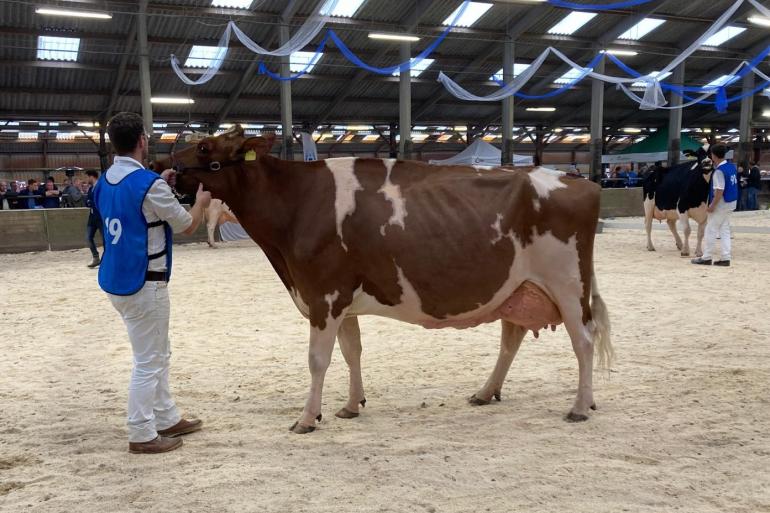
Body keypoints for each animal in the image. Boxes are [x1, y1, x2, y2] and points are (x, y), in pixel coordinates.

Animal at [172, 126, 612, 430]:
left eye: (205, 146)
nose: (168, 166)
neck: (296, 204)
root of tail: (581, 182)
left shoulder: (323, 296)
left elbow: (317, 360)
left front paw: (307, 418)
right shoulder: (343, 302)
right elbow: (352, 352)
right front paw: (351, 406)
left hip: (568, 285)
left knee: (583, 340)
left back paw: (579, 406)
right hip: (516, 287)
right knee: (512, 337)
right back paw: (486, 392)